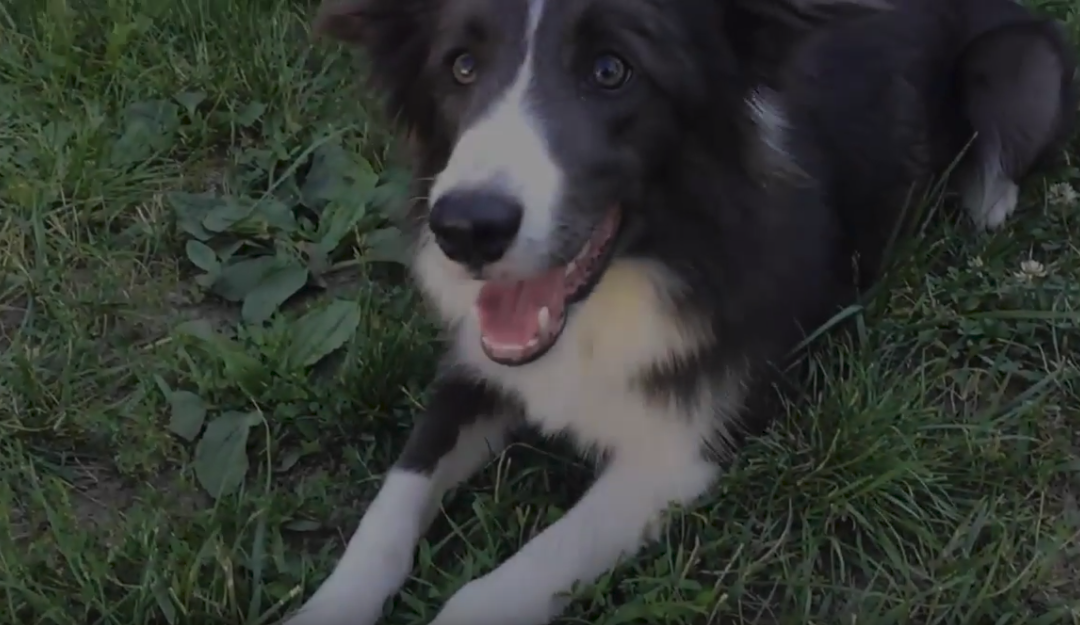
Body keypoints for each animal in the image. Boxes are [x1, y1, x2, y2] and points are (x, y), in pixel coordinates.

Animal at [282, 1, 1075, 625]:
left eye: (612, 70)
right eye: (462, 66)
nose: (466, 230)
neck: (630, 276)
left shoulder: (679, 451)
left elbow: (494, 589)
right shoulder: (479, 366)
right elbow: (389, 506)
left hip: (1021, 64)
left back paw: (984, 199)